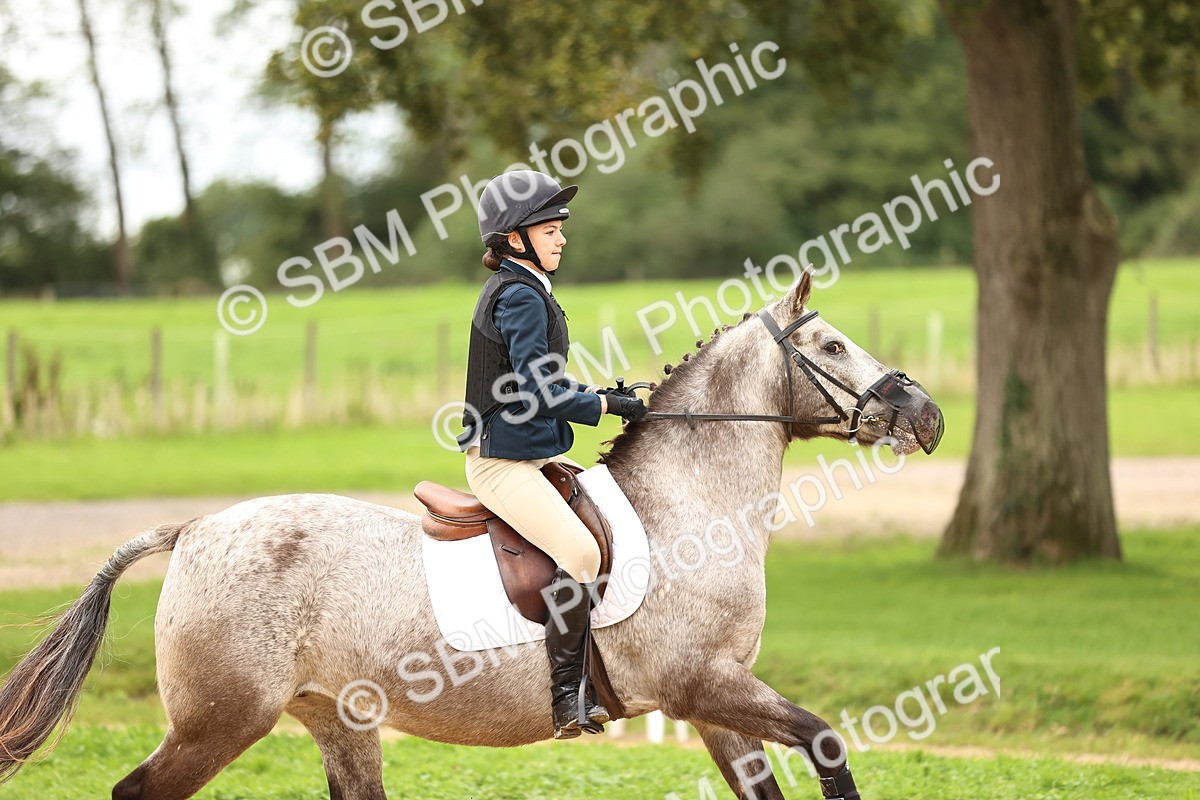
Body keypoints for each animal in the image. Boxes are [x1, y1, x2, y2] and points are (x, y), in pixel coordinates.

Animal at [0, 271, 943, 799]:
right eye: (832, 344)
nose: (927, 415)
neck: (690, 503)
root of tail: (193, 530)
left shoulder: (716, 703)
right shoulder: (700, 686)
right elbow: (825, 740)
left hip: (337, 720)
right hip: (219, 722)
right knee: (137, 792)